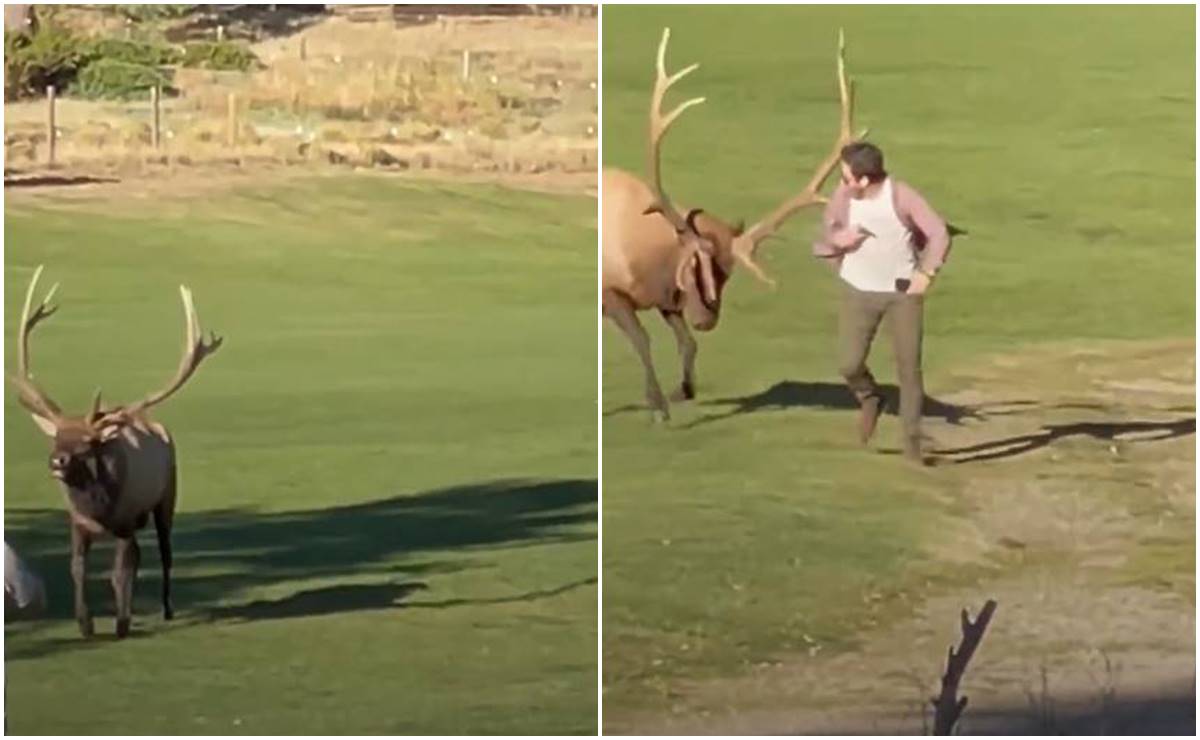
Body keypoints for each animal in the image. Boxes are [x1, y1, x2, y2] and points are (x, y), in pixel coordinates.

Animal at [9, 263, 223, 633]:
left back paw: (166, 609)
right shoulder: (77, 523)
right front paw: (86, 623)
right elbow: (77, 568)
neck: (99, 510)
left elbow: (120, 571)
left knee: (164, 553)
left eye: (87, 443)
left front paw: (121, 623)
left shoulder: (125, 519)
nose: (57, 460)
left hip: (166, 496)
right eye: (56, 437)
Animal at [604, 30, 868, 422]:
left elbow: (688, 344)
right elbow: (643, 340)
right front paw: (658, 405)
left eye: (727, 274)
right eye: (696, 266)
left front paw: (683, 389)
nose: (707, 320)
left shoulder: (667, 300)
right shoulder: (611, 291)